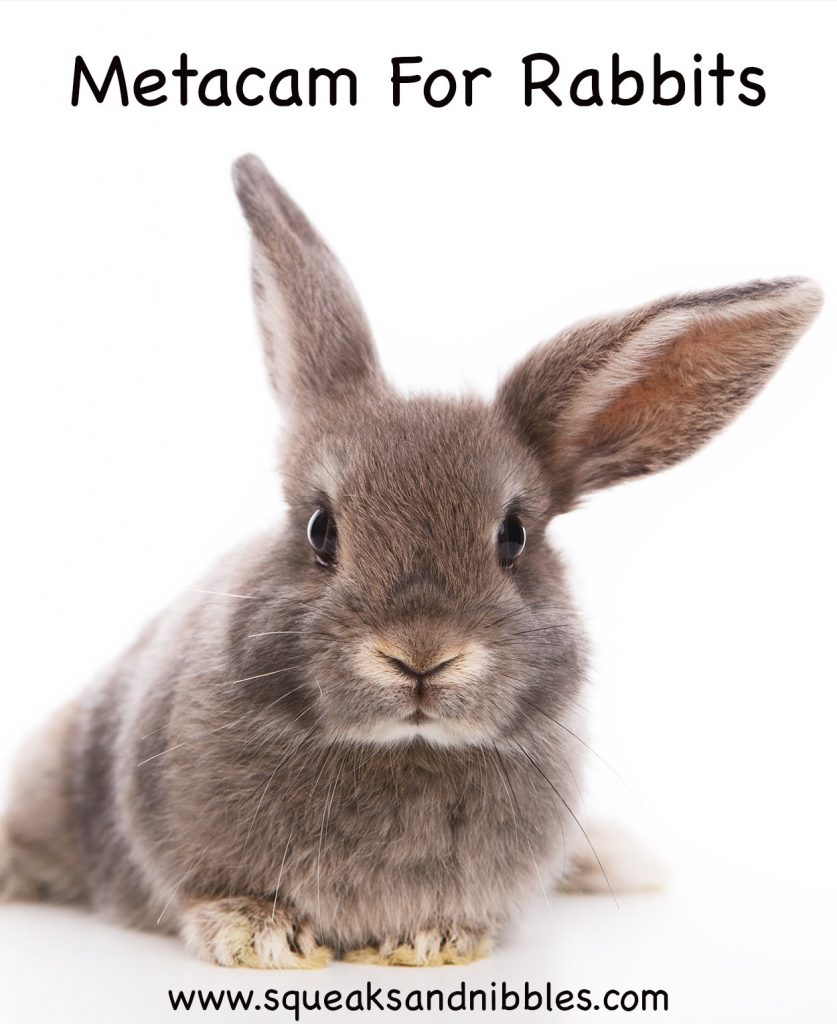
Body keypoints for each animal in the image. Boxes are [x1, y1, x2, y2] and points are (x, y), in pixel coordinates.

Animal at [0, 154, 822, 968]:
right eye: (320, 531)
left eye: (512, 537)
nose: (421, 655)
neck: (404, 749)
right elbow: (211, 898)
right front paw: (258, 934)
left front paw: (434, 940)